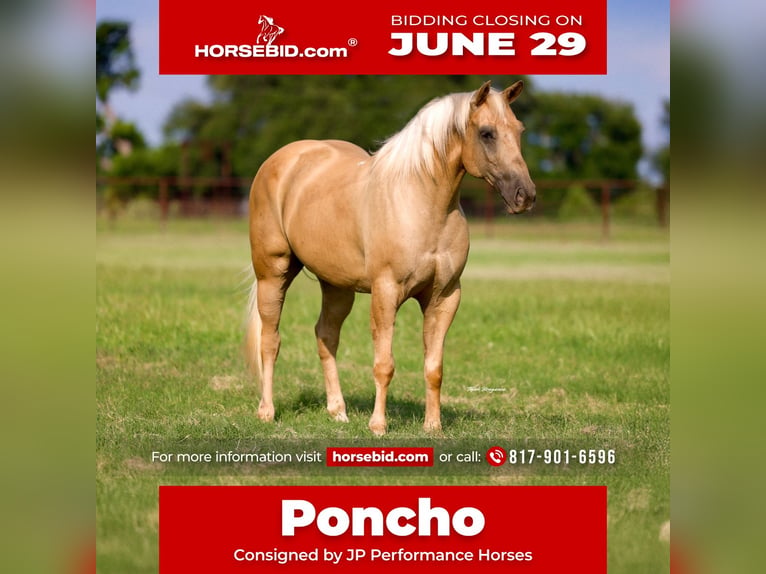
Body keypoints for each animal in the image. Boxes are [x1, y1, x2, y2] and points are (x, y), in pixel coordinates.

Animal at [245, 81, 536, 435]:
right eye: (486, 133)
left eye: (519, 130)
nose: (525, 195)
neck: (421, 202)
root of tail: (282, 159)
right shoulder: (386, 292)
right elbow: (384, 365)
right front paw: (378, 426)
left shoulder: (444, 297)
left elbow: (434, 367)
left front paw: (433, 426)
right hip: (272, 273)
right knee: (270, 339)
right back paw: (266, 411)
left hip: (336, 285)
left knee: (326, 335)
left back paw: (338, 411)